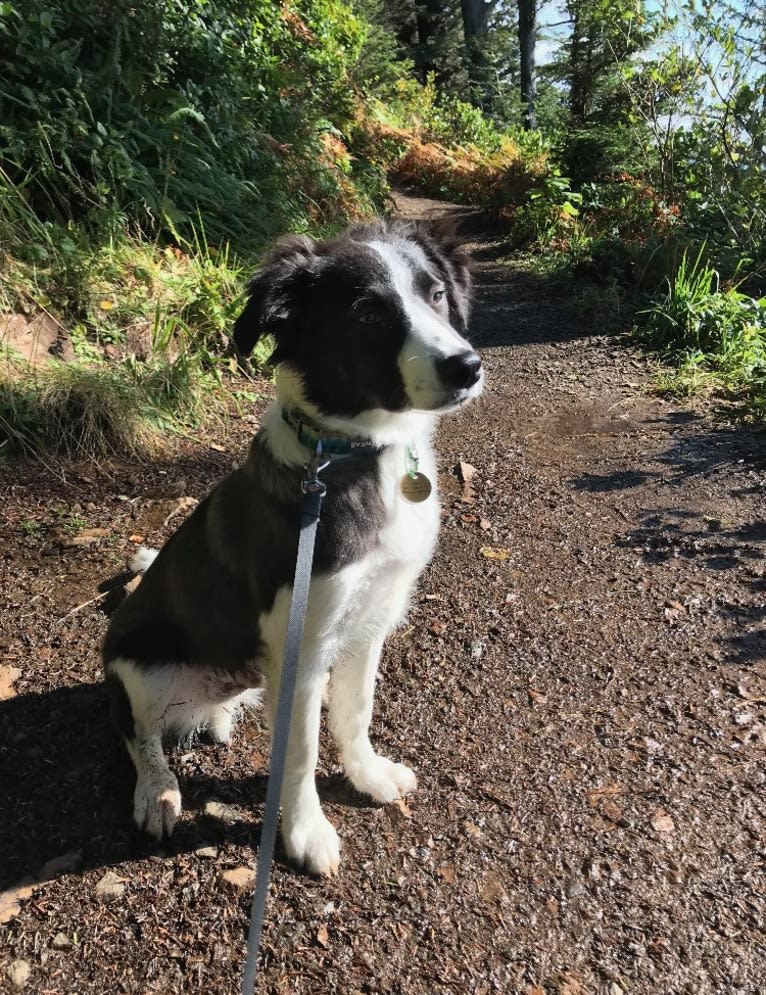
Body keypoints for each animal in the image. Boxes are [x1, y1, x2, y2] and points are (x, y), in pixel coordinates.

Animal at [105, 222, 484, 876]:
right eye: (366, 312)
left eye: (435, 293)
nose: (468, 367)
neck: (352, 456)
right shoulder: (304, 645)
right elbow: (301, 749)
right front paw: (306, 832)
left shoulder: (370, 619)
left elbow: (356, 709)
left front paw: (367, 775)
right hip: (141, 663)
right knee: (137, 732)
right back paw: (158, 791)